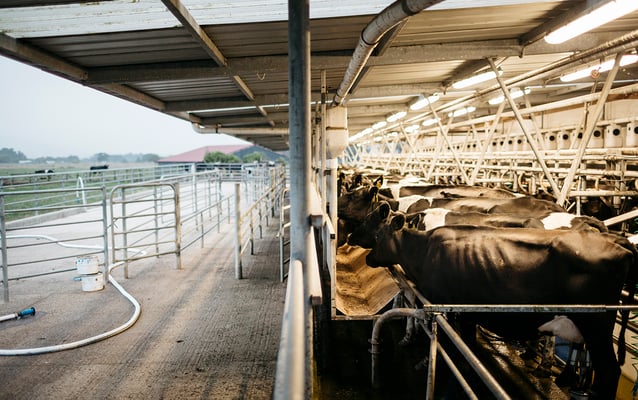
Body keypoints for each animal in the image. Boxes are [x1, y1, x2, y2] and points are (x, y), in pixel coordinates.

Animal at [350, 205, 638, 398]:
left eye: (372, 224)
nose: (351, 238)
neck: (422, 250)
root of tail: (618, 240)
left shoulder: (452, 310)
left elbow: (455, 347)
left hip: (596, 324)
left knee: (609, 372)